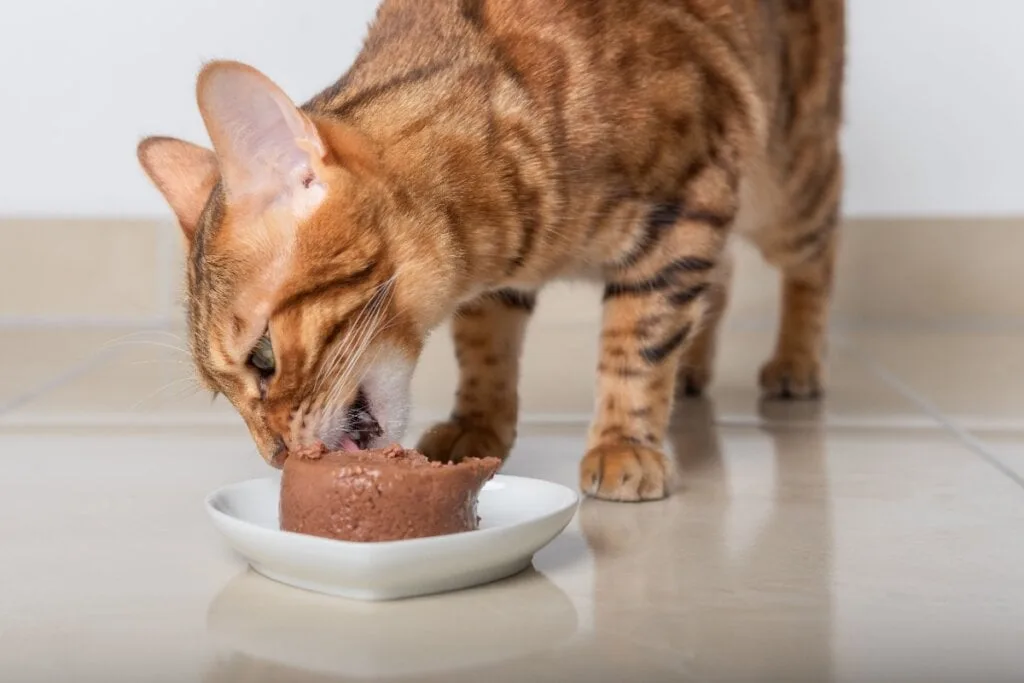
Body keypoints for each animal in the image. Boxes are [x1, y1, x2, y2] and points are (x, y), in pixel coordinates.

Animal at [138, 0, 847, 501]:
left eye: (263, 358)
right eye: (220, 393)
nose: (278, 456)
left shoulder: (684, 211)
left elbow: (636, 343)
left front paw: (624, 441)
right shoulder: (498, 283)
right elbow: (484, 348)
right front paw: (478, 422)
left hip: (784, 182)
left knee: (816, 253)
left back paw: (796, 362)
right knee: (721, 276)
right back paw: (696, 366)